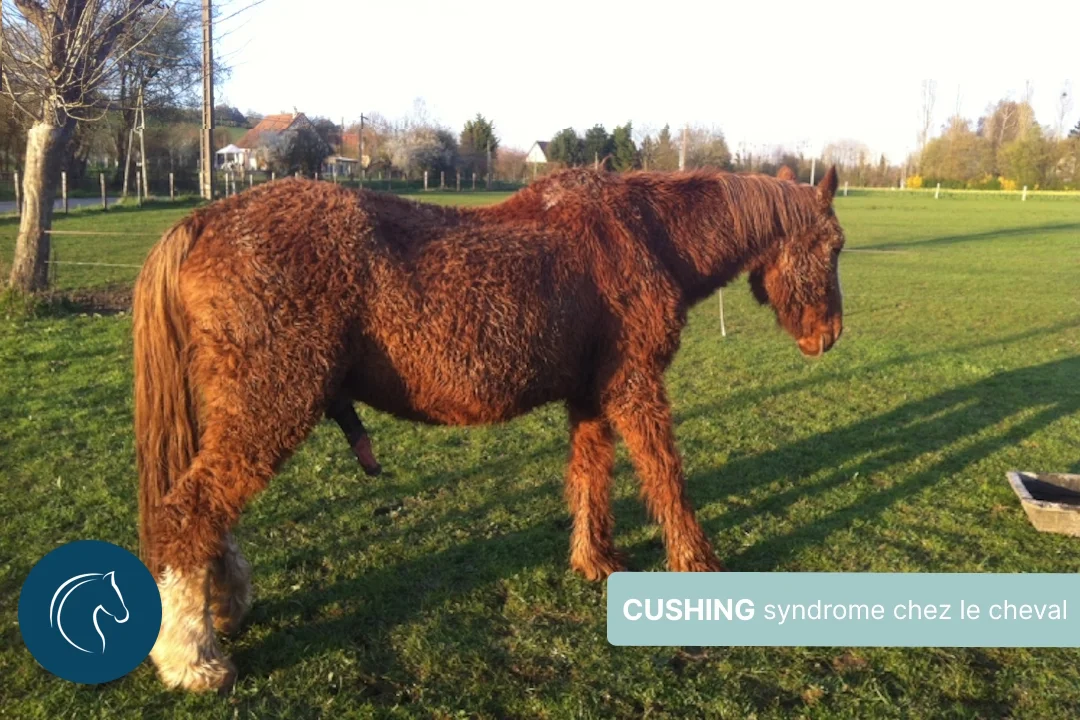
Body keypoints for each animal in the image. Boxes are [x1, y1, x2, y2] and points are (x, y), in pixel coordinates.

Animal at [133, 165, 846, 691]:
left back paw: (223, 608)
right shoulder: (636, 388)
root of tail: (205, 219)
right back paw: (194, 661)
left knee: (207, 519)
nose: (830, 336)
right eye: (835, 246)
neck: (645, 234)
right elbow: (665, 475)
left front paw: (596, 560)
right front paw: (697, 565)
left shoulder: (593, 397)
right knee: (187, 516)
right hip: (269, 410)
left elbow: (592, 475)